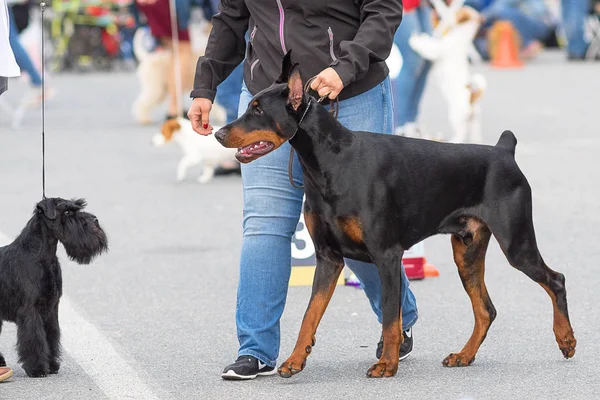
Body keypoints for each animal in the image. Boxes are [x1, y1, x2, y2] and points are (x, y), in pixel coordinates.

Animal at [214, 52, 576, 378]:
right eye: (249, 106)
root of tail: (504, 151)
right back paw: (464, 355)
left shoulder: (386, 254)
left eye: (258, 110)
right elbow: (310, 314)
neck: (330, 161)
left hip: (516, 243)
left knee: (555, 280)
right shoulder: (329, 257)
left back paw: (566, 339)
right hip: (467, 250)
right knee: (486, 310)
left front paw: (387, 364)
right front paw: (293, 361)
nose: (218, 133)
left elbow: (390, 315)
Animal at [408, 3, 488, 144]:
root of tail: (471, 99)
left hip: (456, 117)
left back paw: (454, 140)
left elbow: (426, 46)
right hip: (475, 121)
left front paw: (416, 39)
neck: (462, 36)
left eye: (458, 12)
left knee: (461, 133)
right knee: (475, 134)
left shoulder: (436, 50)